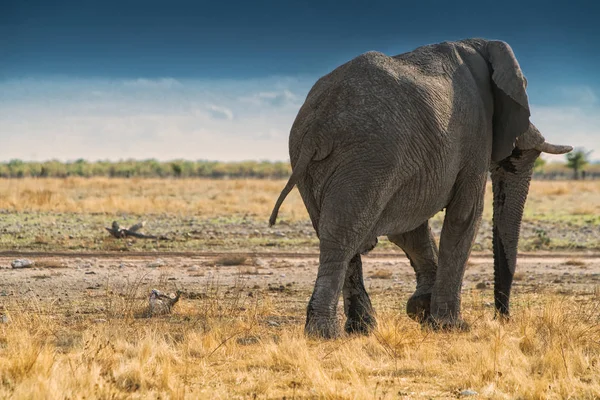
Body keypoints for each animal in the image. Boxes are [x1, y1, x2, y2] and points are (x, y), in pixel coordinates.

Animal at [268, 37, 572, 340]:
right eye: (514, 160)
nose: (503, 318)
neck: (481, 44)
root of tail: (317, 127)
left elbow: (409, 230)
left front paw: (421, 310)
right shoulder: (476, 132)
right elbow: (465, 217)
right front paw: (451, 325)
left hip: (315, 164)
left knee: (333, 229)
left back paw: (360, 329)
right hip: (369, 157)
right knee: (343, 235)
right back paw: (326, 333)